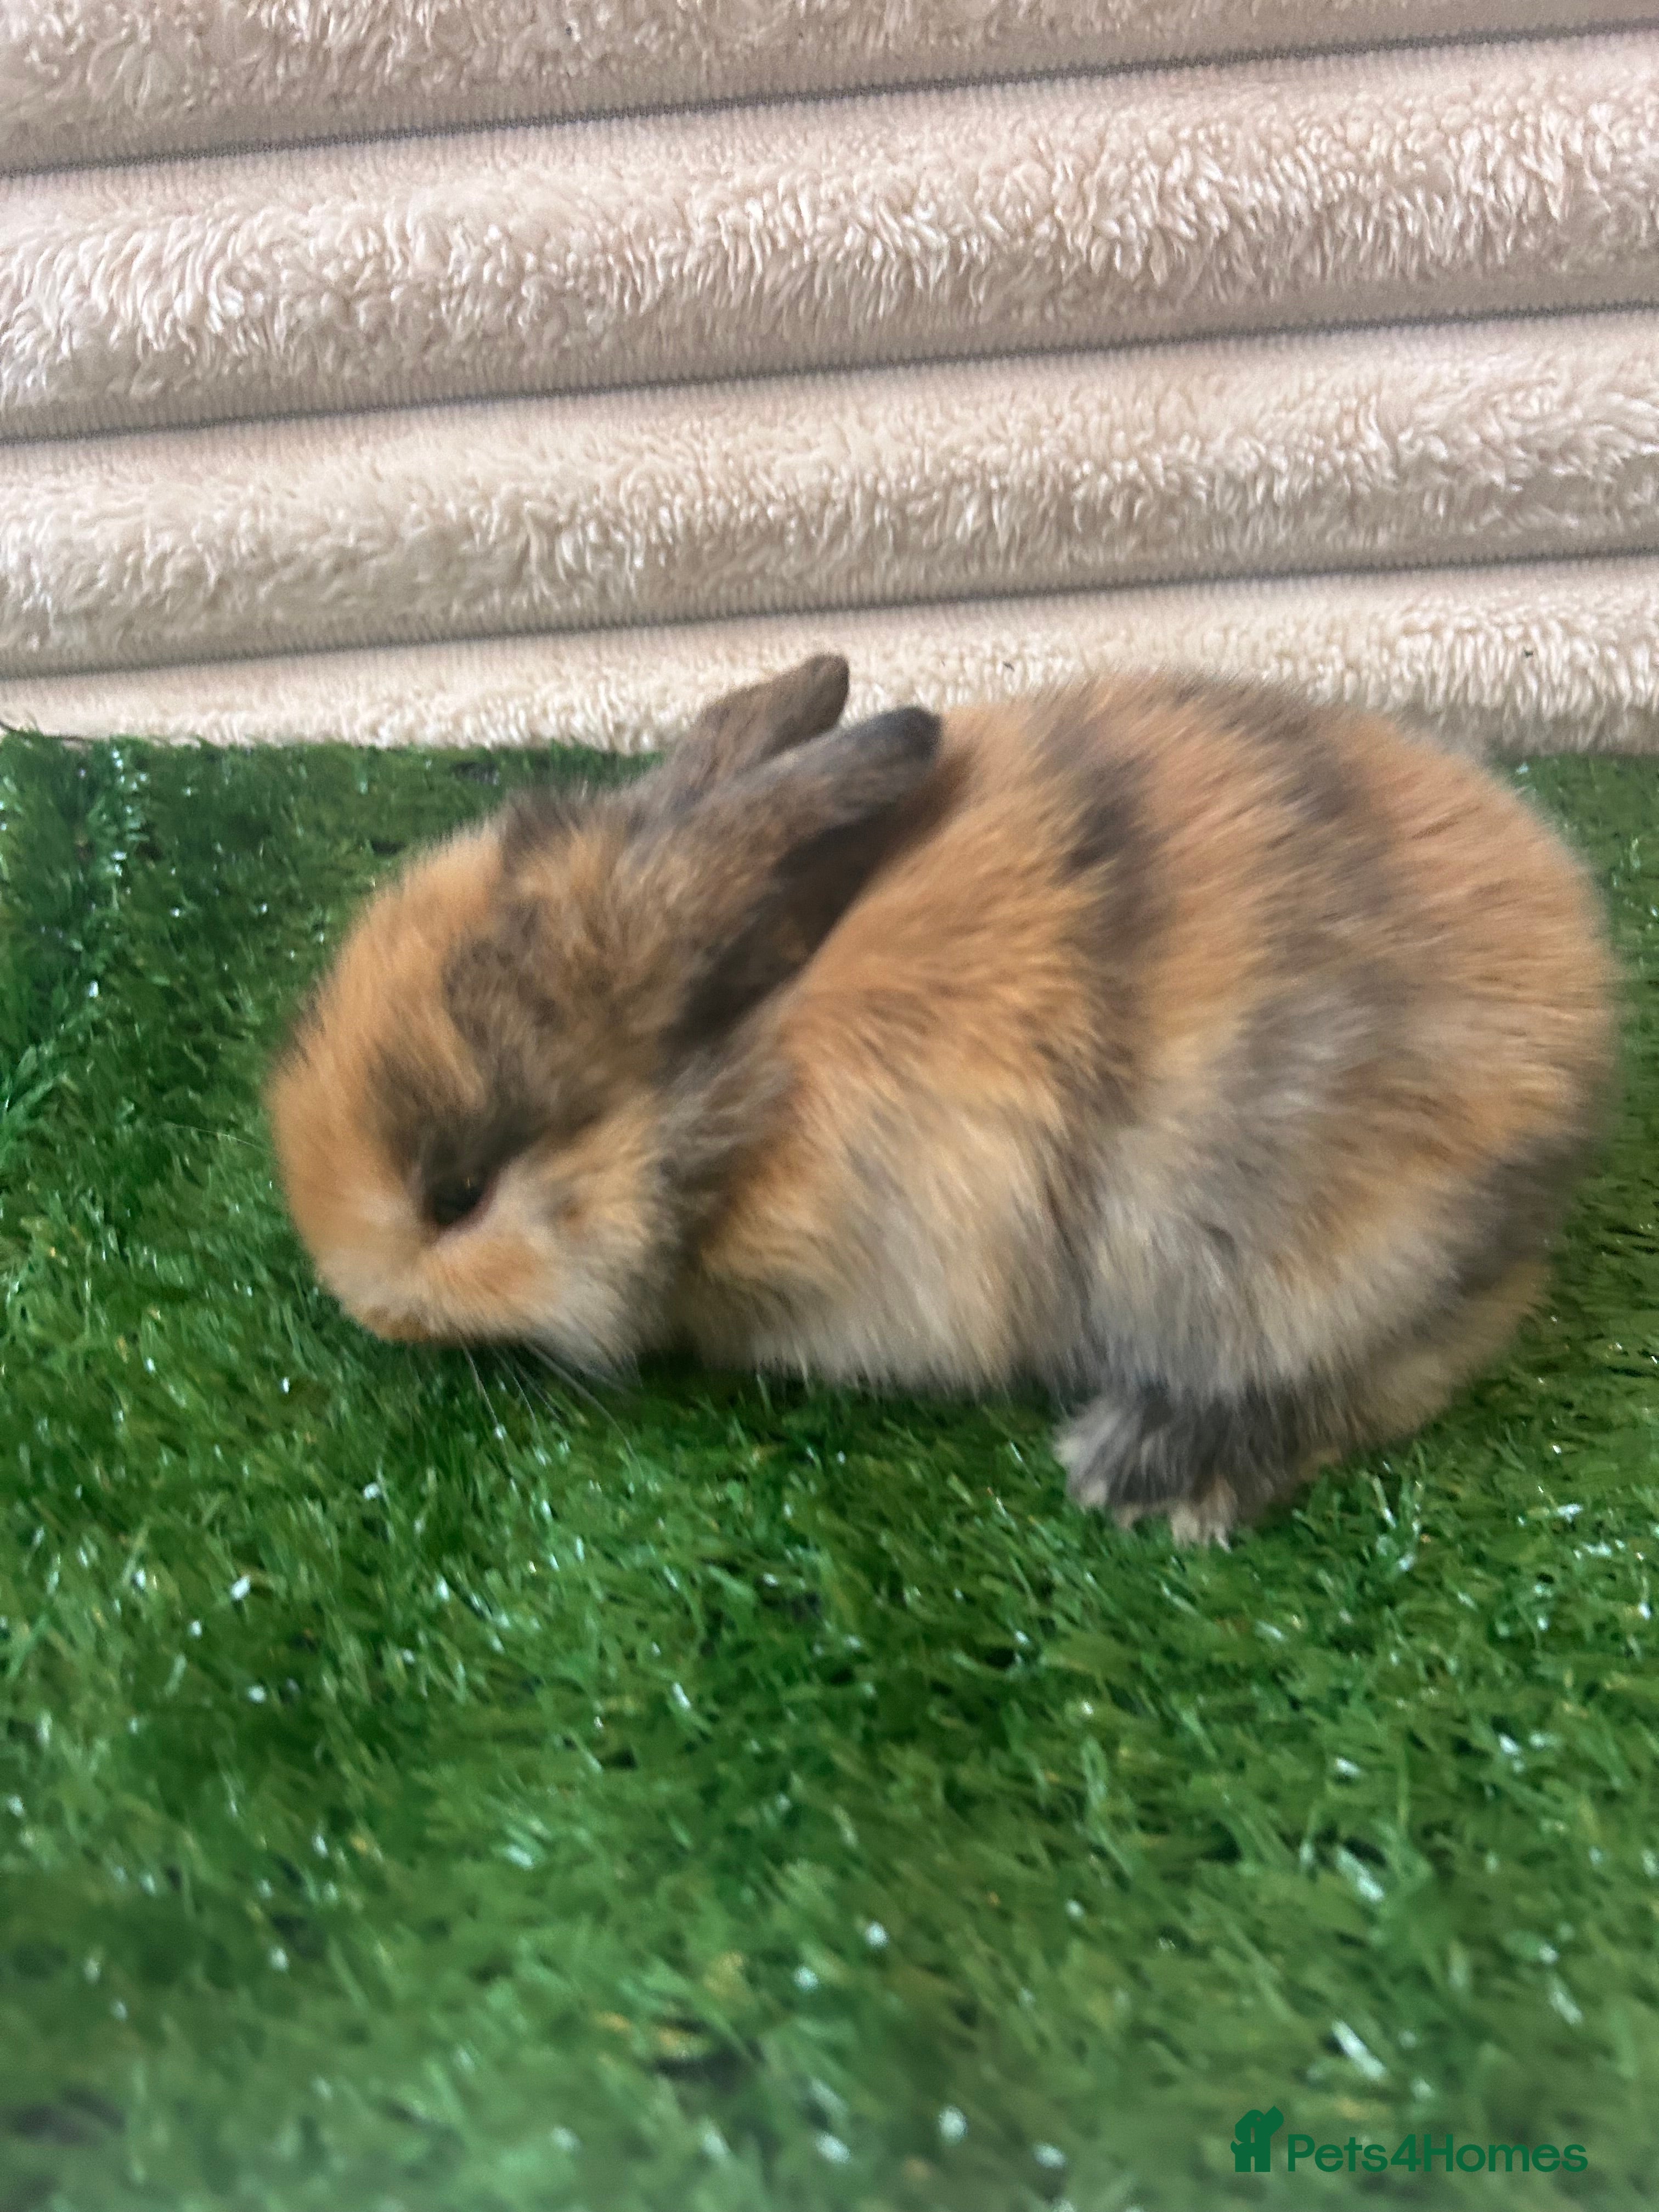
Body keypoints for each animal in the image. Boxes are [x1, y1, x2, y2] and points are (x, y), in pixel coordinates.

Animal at [266, 653, 1616, 1542]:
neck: (739, 1093)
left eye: (455, 1195)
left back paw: (1147, 1472)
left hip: (1299, 1262)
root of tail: (1583, 1013)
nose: (360, 1304)